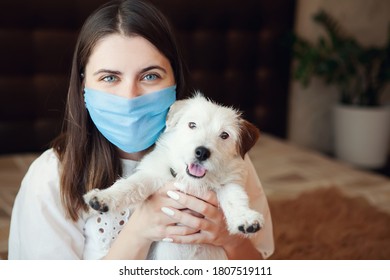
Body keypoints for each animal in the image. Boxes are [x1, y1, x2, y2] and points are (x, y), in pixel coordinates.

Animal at [83, 93, 264, 260]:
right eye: (192, 125)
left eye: (224, 135)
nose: (202, 152)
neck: (190, 181)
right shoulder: (153, 175)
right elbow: (131, 185)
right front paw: (104, 197)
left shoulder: (230, 183)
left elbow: (235, 198)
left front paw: (245, 218)